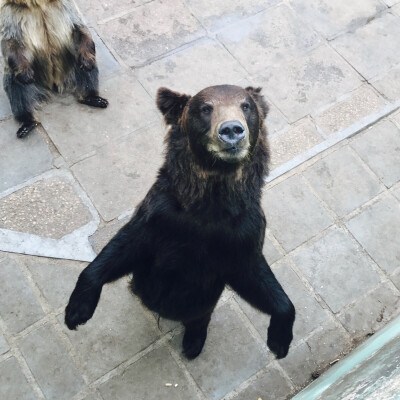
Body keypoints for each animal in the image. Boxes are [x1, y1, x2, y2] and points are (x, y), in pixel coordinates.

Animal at [0, 0, 108, 138]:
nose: (86, 61)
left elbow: (78, 28)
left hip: (70, 69)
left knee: (84, 68)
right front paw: (26, 74)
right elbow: (12, 41)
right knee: (16, 87)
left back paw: (93, 98)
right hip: (35, 78)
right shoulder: (12, 12)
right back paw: (27, 123)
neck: (37, 4)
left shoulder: (65, 6)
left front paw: (87, 61)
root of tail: (53, 84)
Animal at [65, 84, 296, 360]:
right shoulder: (162, 215)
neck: (211, 199)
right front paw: (77, 310)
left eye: (245, 105)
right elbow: (124, 247)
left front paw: (280, 340)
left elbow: (255, 276)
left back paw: (193, 342)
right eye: (205, 108)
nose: (232, 130)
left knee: (201, 314)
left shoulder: (241, 233)